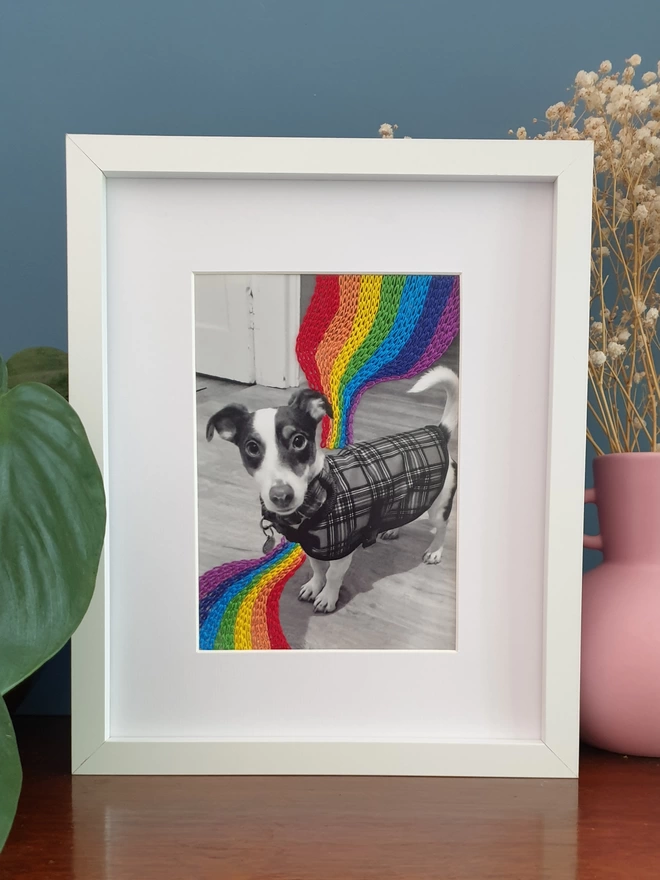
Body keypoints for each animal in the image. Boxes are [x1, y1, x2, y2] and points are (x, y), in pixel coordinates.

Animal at [208, 364, 458, 612]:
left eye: (299, 441)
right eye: (251, 448)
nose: (281, 496)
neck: (318, 495)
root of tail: (439, 431)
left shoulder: (342, 549)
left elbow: (333, 575)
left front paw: (327, 596)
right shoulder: (312, 546)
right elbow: (318, 569)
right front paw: (314, 586)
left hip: (439, 506)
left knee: (443, 527)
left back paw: (435, 551)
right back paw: (393, 529)